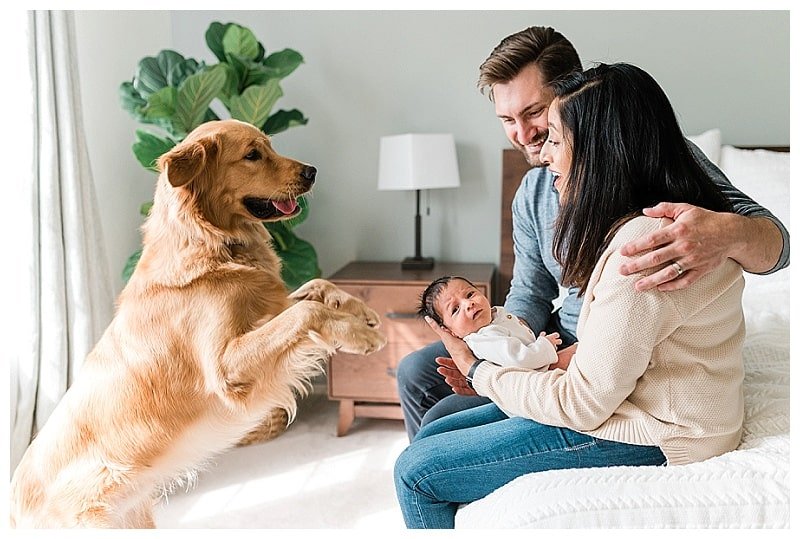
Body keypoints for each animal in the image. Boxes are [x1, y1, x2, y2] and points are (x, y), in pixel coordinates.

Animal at [10, 120, 388, 528]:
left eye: (270, 147)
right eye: (253, 155)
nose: (312, 172)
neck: (213, 243)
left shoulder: (267, 309)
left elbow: (316, 288)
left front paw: (360, 313)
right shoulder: (226, 368)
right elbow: (304, 313)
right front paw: (358, 334)